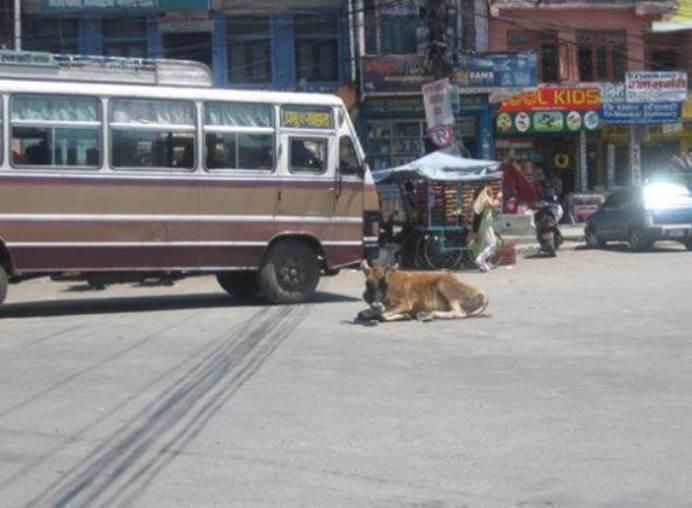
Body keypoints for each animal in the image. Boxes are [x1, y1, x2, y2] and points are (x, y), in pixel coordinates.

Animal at [360, 262, 490, 322]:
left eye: (385, 283)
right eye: (367, 282)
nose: (376, 305)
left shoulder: (405, 304)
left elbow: (383, 315)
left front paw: (406, 316)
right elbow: (362, 314)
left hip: (444, 286)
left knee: (459, 313)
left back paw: (426, 315)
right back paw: (424, 314)